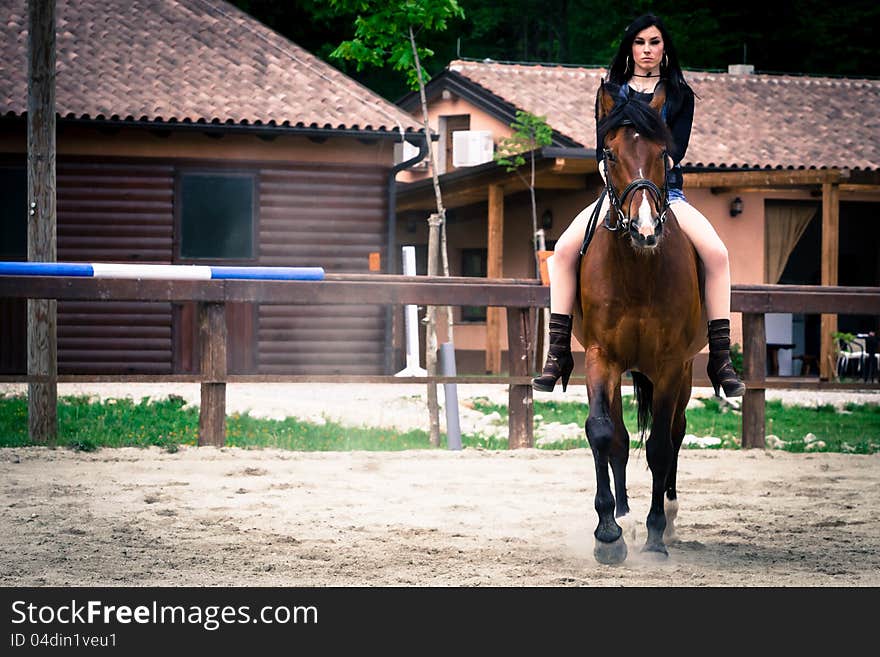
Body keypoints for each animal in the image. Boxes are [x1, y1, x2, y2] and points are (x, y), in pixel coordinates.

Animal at [572, 80, 708, 564]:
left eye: (663, 153)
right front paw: (608, 533)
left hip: (683, 373)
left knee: (676, 433)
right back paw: (626, 517)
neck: (637, 269)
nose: (645, 229)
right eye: (610, 154)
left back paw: (667, 517)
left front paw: (654, 535)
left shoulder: (668, 366)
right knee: (621, 436)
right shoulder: (601, 358)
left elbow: (661, 446)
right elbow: (603, 433)